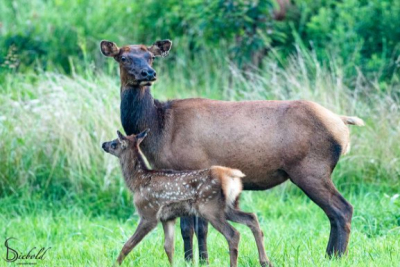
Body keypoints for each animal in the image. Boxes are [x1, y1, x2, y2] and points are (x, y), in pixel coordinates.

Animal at [103, 130, 272, 267]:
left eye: (115, 143)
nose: (103, 144)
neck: (138, 181)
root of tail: (231, 176)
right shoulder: (168, 218)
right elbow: (169, 247)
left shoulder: (148, 212)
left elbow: (127, 245)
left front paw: (115, 264)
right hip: (228, 206)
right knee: (251, 217)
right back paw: (265, 261)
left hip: (209, 207)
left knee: (233, 234)